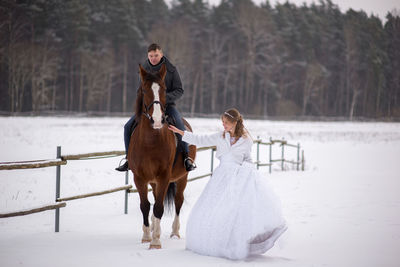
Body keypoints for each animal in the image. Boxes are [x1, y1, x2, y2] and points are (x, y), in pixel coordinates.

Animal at [129, 63, 196, 250]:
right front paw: (147, 236)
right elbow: (145, 206)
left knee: (179, 201)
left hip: (182, 178)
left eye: (164, 90)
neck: (150, 141)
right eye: (144, 90)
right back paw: (153, 227)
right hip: (153, 181)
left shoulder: (164, 176)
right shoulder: (139, 178)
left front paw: (156, 242)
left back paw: (174, 232)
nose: (158, 120)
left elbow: (159, 207)